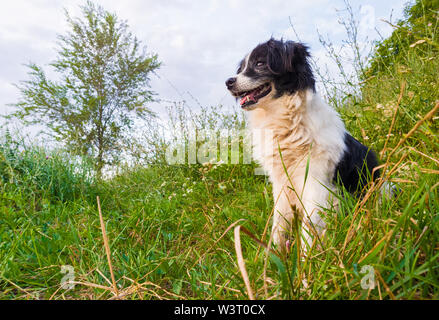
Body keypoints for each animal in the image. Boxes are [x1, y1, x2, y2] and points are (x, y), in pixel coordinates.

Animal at [227, 38, 382, 251]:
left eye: (260, 63)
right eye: (241, 68)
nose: (228, 82)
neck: (287, 122)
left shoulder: (315, 183)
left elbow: (310, 226)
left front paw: (308, 256)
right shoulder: (281, 184)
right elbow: (278, 224)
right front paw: (274, 254)